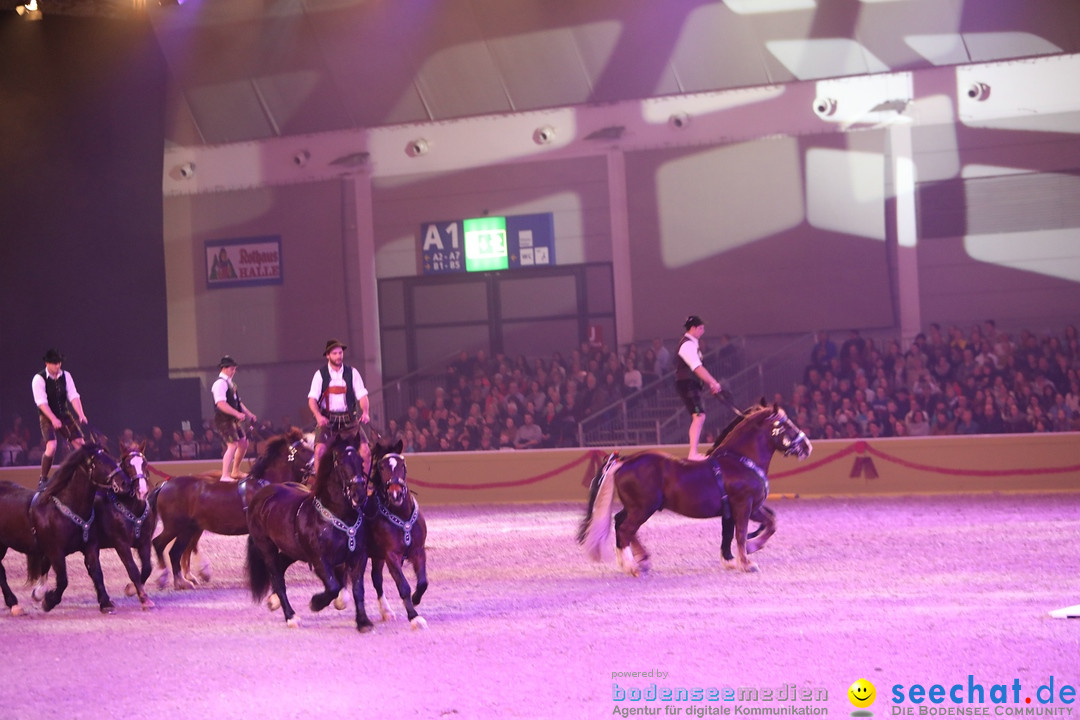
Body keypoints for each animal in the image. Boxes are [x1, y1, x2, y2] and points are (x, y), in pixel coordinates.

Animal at [26, 444, 134, 613]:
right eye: (101, 462)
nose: (125, 483)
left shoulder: (90, 547)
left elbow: (97, 573)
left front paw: (105, 603)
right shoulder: (55, 551)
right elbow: (63, 580)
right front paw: (49, 601)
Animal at [152, 431, 313, 587]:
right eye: (304, 450)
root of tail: (165, 485)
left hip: (188, 528)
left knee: (176, 552)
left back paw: (182, 581)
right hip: (174, 526)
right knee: (158, 544)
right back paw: (164, 577)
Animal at [246, 440, 375, 630]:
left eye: (361, 461)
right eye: (340, 462)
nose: (359, 495)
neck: (337, 517)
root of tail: (262, 495)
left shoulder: (359, 556)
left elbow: (358, 589)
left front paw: (363, 622)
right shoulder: (319, 559)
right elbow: (333, 587)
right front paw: (315, 603)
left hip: (292, 550)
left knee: (281, 567)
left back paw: (274, 601)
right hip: (266, 547)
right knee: (277, 579)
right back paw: (291, 616)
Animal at [367, 440, 425, 630]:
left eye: (402, 465)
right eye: (382, 466)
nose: (396, 493)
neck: (402, 516)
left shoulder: (418, 551)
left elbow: (422, 582)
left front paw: (416, 599)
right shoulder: (391, 555)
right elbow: (403, 586)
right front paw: (414, 617)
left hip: (377, 557)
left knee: (376, 579)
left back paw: (386, 611)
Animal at [583, 405, 812, 574]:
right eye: (785, 424)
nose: (807, 446)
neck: (740, 461)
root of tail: (624, 461)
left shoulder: (748, 508)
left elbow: (766, 524)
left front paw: (739, 555)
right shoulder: (743, 506)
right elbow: (740, 533)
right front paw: (747, 561)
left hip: (636, 507)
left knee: (621, 524)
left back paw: (638, 561)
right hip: (643, 508)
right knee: (625, 529)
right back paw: (633, 567)